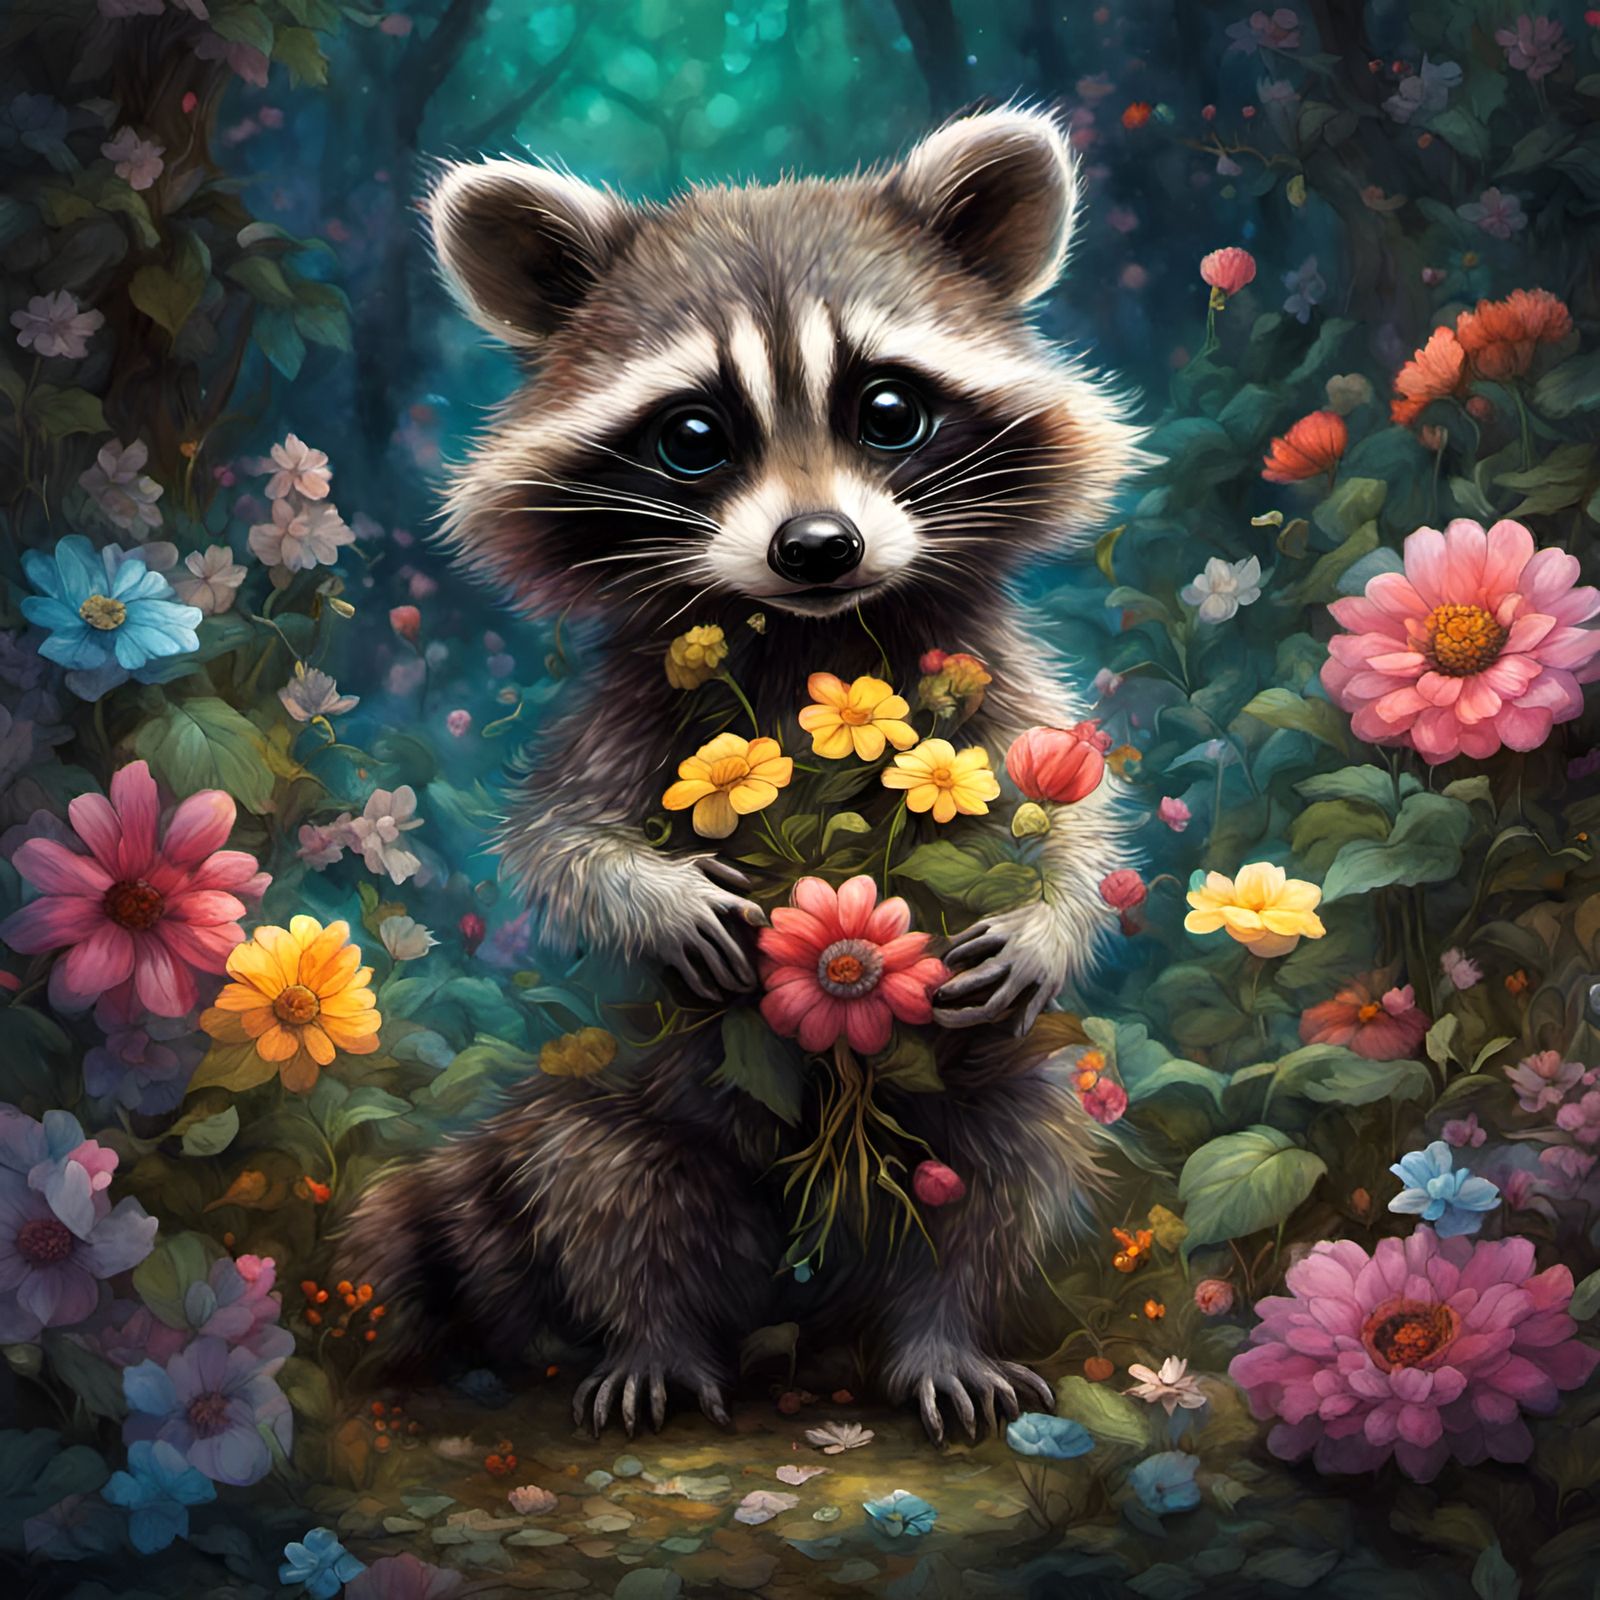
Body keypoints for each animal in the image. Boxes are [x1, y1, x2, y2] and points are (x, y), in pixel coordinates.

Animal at [338, 107, 1152, 1444]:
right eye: (693, 437)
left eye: (888, 410)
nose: (816, 546)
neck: (816, 633)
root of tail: (804, 1275)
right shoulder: (631, 704)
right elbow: (558, 837)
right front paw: (649, 891)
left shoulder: (987, 671)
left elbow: (1073, 810)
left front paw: (1055, 912)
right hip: (619, 1107)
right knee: (613, 1190)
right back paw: (660, 1336)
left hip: (985, 1092)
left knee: (998, 1172)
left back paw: (936, 1332)